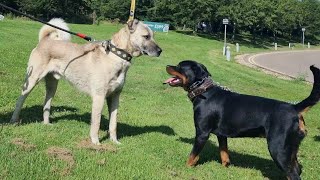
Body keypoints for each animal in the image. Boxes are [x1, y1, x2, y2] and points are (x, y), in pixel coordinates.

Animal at [165, 60, 320, 180]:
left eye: (179, 66)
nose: (167, 65)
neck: (204, 92)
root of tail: (295, 108)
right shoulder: (222, 135)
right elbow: (224, 154)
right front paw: (225, 168)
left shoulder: (202, 133)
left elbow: (193, 156)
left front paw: (185, 168)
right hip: (291, 149)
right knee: (296, 169)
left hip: (278, 148)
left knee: (293, 174)